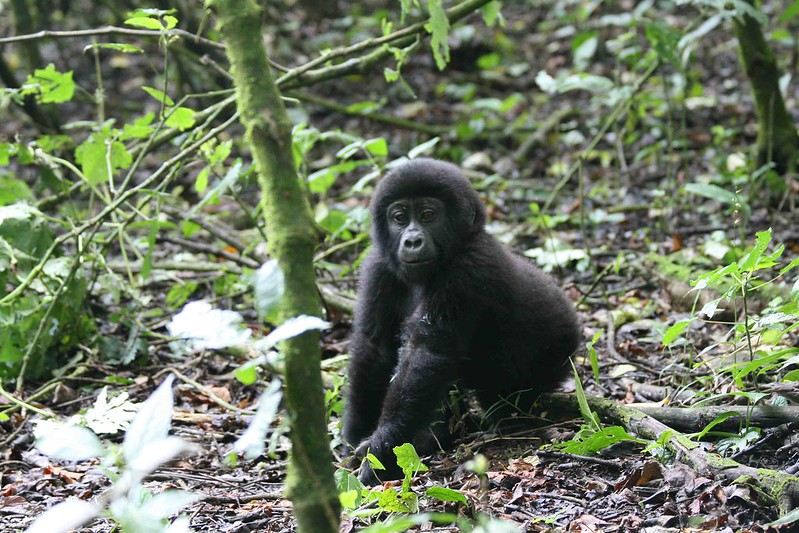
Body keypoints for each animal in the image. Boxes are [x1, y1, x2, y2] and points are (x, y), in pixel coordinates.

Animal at [344, 158, 580, 482]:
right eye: (400, 218)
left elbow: (427, 353)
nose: (412, 240)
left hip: (556, 351)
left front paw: (382, 449)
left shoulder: (468, 268)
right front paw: (355, 434)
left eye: (429, 215)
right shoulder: (378, 265)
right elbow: (374, 347)